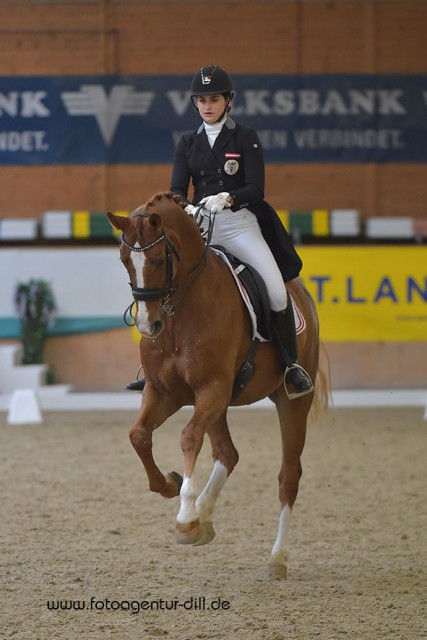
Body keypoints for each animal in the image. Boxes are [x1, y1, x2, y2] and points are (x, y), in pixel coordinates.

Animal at [108, 192, 330, 576]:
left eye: (157, 258)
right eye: (124, 261)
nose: (148, 326)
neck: (180, 311)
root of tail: (301, 292)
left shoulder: (211, 388)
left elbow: (187, 438)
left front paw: (185, 515)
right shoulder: (165, 392)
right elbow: (138, 436)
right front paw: (171, 486)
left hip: (288, 401)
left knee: (288, 476)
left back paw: (276, 558)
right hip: (219, 402)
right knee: (228, 453)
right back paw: (205, 516)